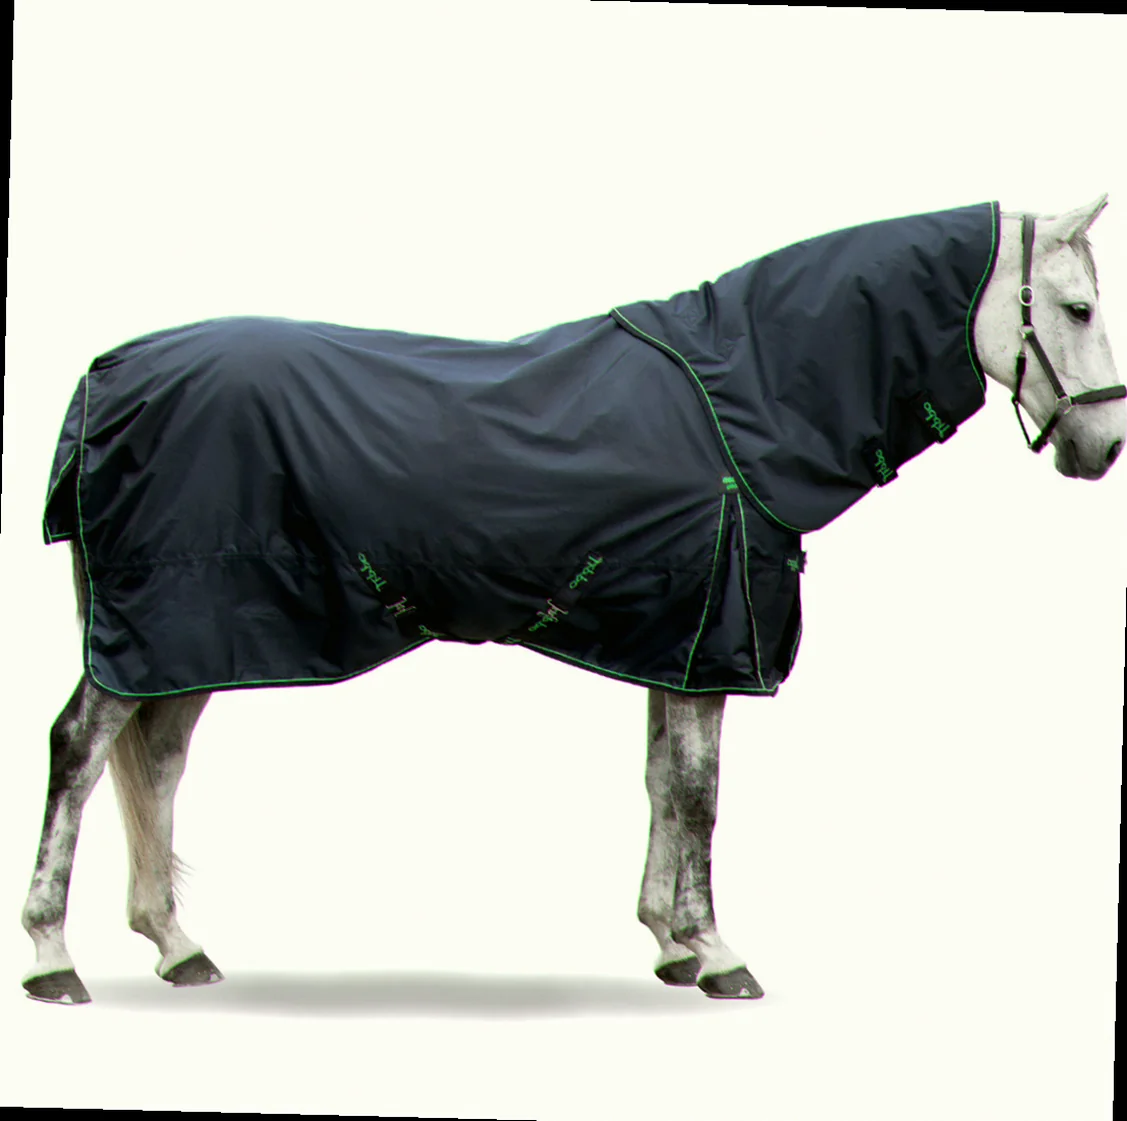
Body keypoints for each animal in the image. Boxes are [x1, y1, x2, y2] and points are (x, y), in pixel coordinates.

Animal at [21, 196, 1124, 1005]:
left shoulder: (676, 638)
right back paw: (49, 959)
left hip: (191, 634)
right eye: (1074, 308)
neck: (745, 400)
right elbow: (699, 794)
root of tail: (108, 373)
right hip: (157, 624)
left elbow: (662, 783)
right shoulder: (711, 637)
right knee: (79, 749)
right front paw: (718, 953)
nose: (1101, 447)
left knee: (157, 760)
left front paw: (669, 941)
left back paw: (176, 944)